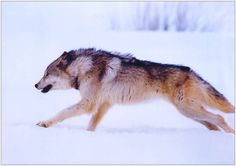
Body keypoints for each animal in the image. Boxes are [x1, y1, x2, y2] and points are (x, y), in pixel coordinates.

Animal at [34, 48, 235, 134]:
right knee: (212, 124)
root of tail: (190, 71)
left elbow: (62, 112)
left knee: (219, 118)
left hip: (189, 110)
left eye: (46, 74)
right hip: (190, 113)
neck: (83, 68)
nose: (35, 85)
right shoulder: (104, 105)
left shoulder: (88, 104)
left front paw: (45, 123)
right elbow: (91, 125)